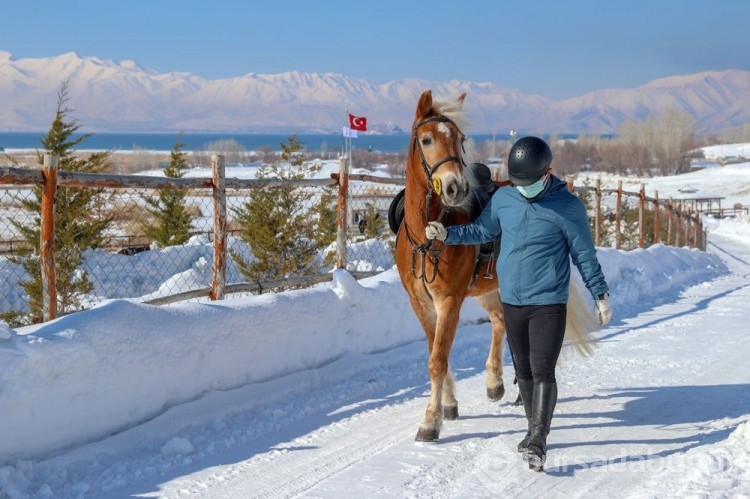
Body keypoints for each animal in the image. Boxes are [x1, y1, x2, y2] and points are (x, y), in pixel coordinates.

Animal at [394, 90, 600, 442]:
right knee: (501, 322)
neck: (425, 237)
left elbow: (438, 359)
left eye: (460, 139)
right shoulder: (420, 302)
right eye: (426, 139)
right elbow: (437, 354)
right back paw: (496, 382)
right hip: (488, 290)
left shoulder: (449, 301)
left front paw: (431, 421)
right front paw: (448, 405)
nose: (456, 188)